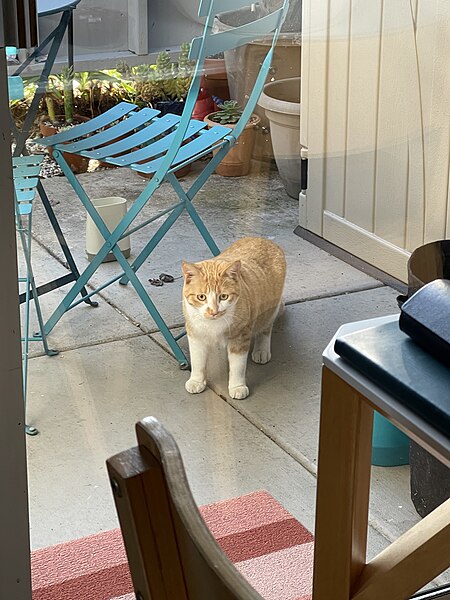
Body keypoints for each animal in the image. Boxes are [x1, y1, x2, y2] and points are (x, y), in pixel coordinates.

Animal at [182, 237, 284, 400]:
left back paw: (261, 349)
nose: (213, 311)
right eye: (201, 297)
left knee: (265, 328)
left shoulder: (240, 336)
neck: (213, 324)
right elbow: (197, 360)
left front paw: (237, 386)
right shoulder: (195, 334)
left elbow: (238, 366)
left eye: (223, 296)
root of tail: (262, 238)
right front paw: (196, 381)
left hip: (270, 309)